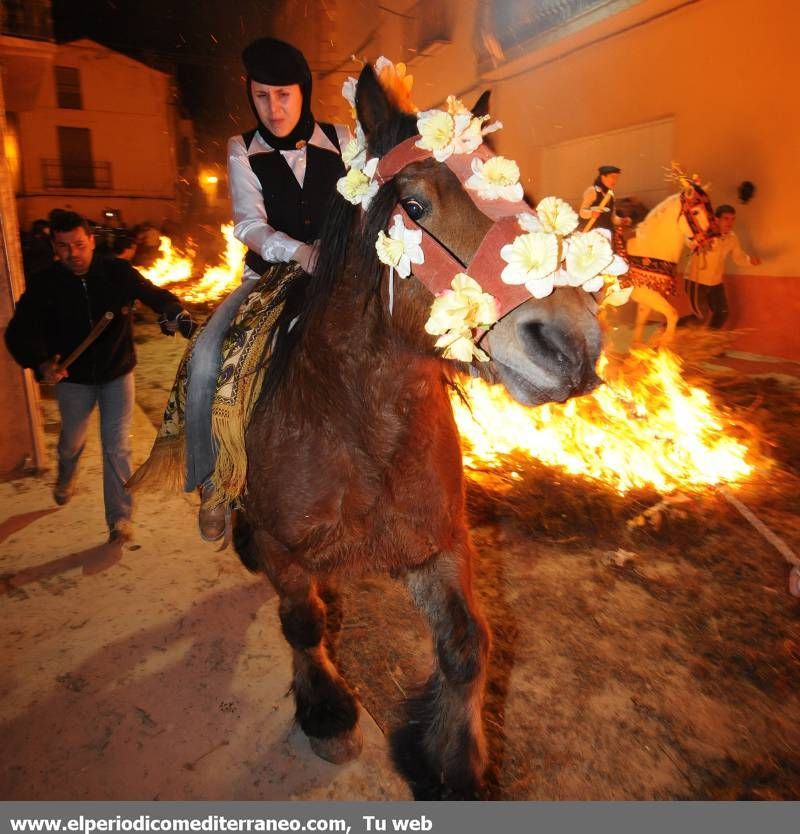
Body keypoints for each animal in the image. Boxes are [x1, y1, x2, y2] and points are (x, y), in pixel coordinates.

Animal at [231, 68, 600, 796]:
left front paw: (450, 763)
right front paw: (327, 712)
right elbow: (303, 621)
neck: (360, 431)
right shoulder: (286, 550)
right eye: (414, 205)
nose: (572, 343)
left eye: (522, 195)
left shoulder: (442, 544)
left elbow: (467, 647)